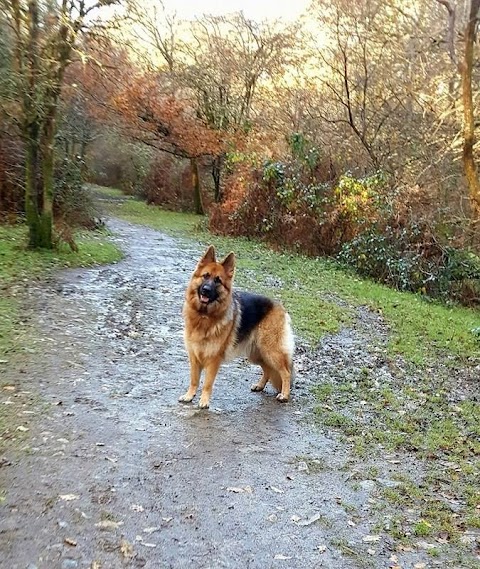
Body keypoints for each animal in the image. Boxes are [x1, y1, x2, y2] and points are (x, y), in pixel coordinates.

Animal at [179, 244, 294, 408]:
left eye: (218, 281)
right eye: (205, 276)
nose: (206, 290)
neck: (204, 316)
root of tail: (279, 306)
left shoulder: (213, 360)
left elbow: (207, 383)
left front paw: (204, 401)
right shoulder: (194, 357)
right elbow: (194, 380)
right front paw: (189, 396)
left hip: (271, 352)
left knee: (285, 372)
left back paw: (284, 395)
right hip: (257, 354)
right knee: (267, 369)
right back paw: (260, 386)